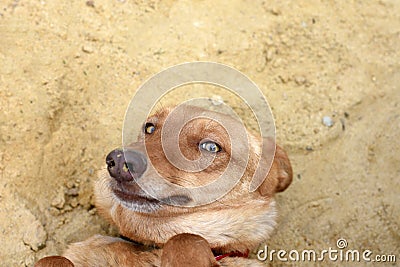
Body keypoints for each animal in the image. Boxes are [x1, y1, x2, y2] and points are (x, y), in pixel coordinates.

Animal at [37, 105, 292, 266]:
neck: (150, 246)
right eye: (149, 128)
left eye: (211, 146)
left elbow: (185, 239)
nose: (118, 161)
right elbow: (51, 258)